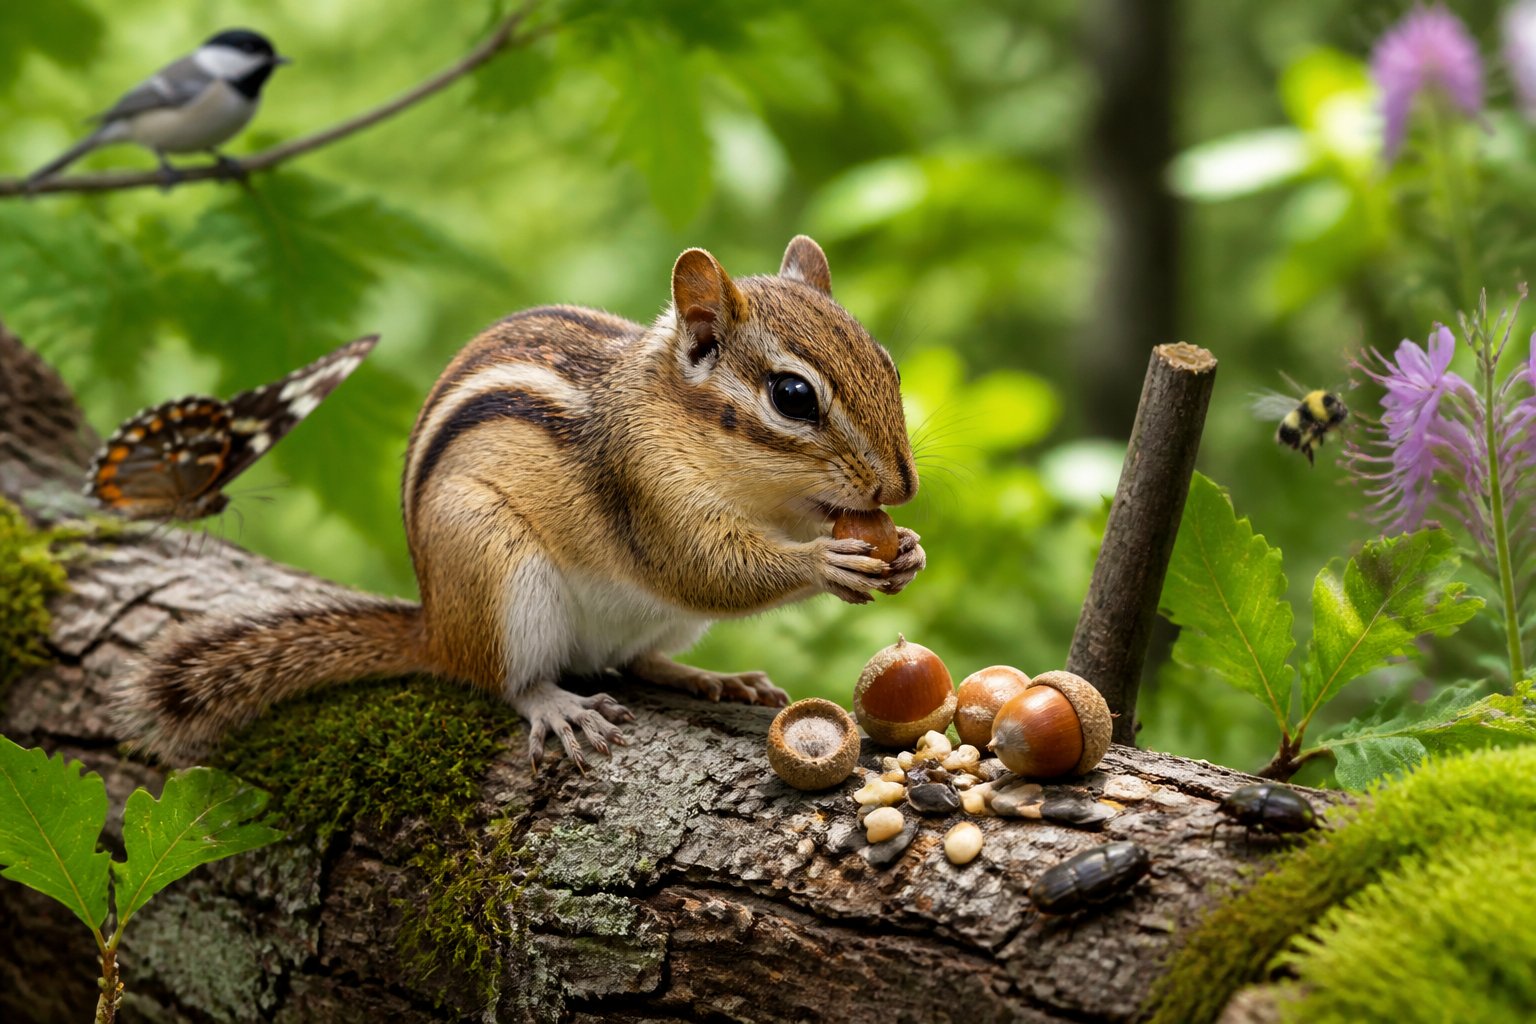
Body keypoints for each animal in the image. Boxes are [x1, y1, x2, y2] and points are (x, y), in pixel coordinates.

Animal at [114, 236, 926, 766]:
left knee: (636, 660)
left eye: (886, 363)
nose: (904, 487)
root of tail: (436, 626)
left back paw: (710, 678)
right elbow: (706, 570)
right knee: (512, 677)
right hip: (497, 569)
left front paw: (906, 550)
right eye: (793, 397)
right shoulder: (645, 491)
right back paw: (557, 705)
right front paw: (826, 563)